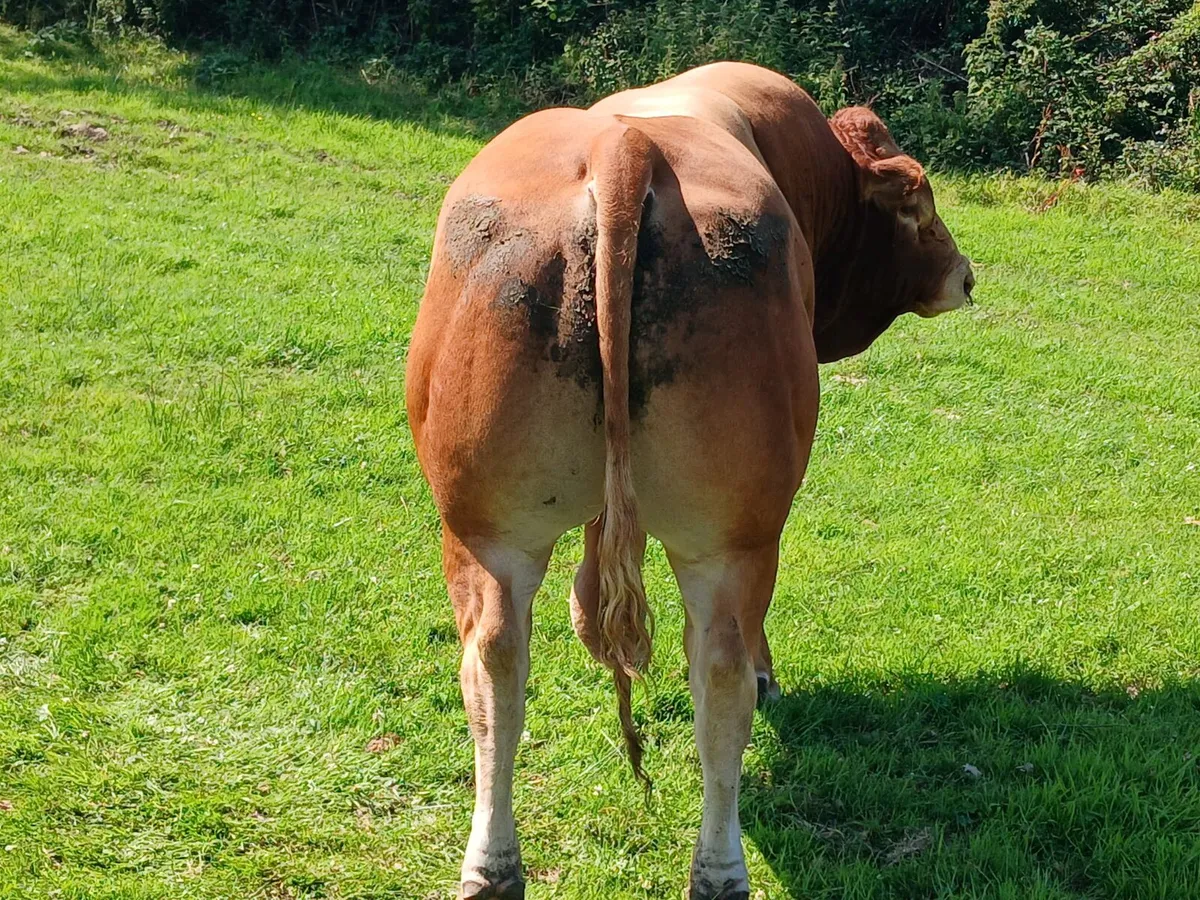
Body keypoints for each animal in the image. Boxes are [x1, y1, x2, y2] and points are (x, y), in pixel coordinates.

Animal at [405, 61, 974, 900]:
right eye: (922, 205)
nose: (966, 275)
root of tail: (623, 148)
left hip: (485, 527)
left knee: (495, 662)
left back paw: (493, 867)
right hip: (733, 539)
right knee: (723, 676)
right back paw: (720, 868)